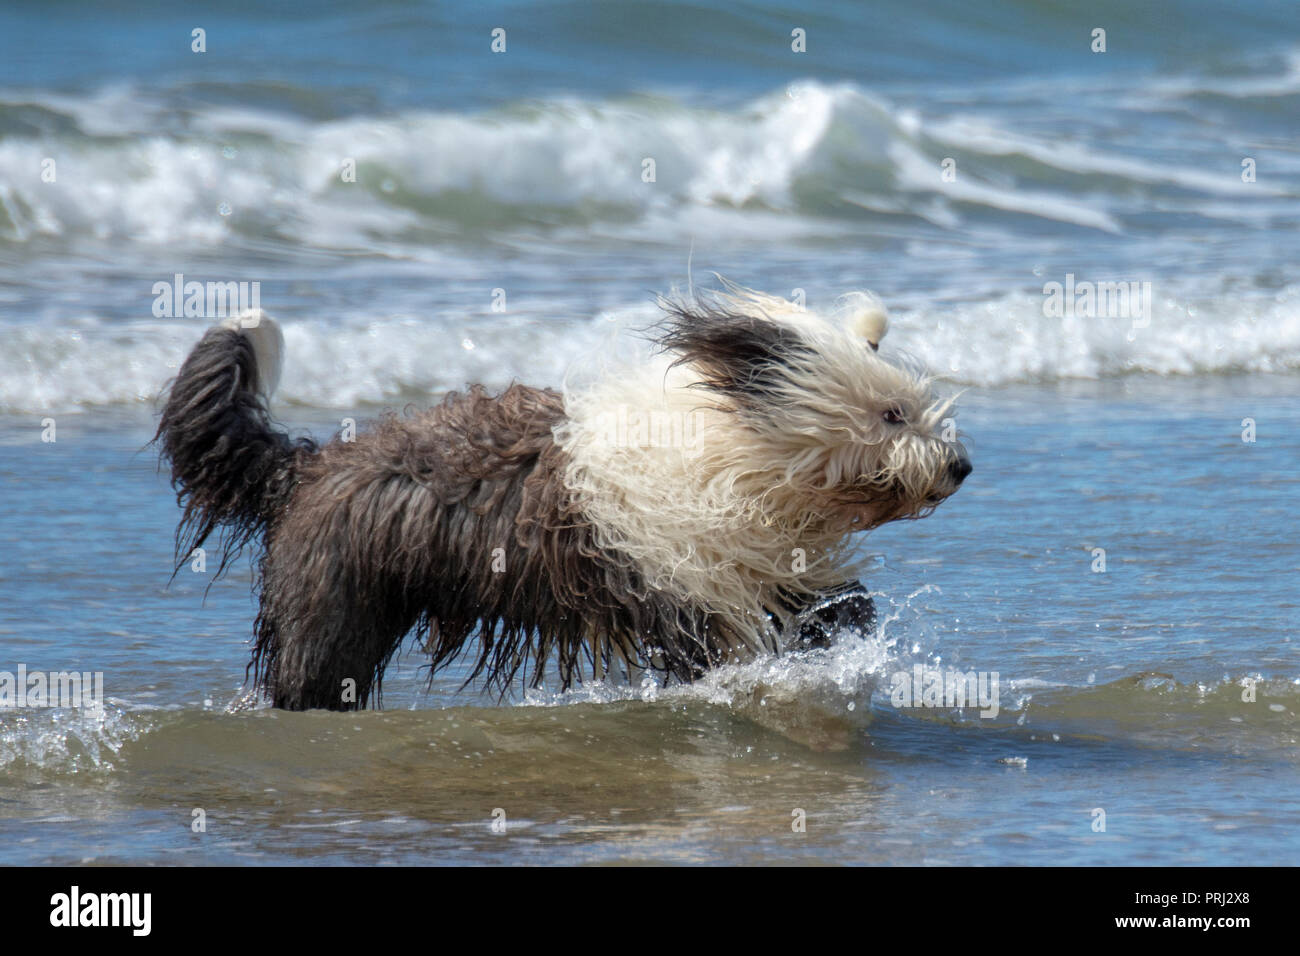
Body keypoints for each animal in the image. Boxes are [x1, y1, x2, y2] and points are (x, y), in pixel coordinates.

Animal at [154, 283, 967, 712]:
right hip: (333, 607)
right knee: (314, 675)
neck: (737, 453)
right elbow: (721, 644)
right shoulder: (684, 583)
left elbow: (833, 606)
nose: (960, 466)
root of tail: (312, 464)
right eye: (891, 414)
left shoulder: (767, 565)